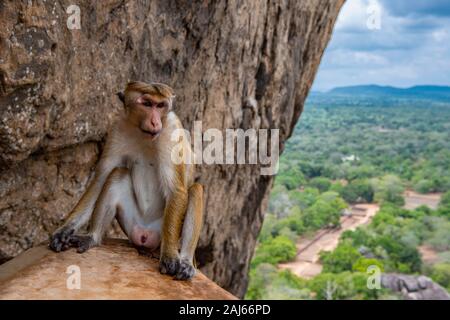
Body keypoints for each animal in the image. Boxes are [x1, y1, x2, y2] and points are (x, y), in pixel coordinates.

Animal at [50, 80, 203, 280]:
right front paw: (65, 228)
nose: (155, 122)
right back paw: (92, 237)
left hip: (160, 232)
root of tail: (145, 234)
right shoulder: (118, 127)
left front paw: (170, 255)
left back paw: (185, 262)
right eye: (147, 104)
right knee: (117, 174)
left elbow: (176, 190)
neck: (143, 133)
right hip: (132, 225)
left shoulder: (171, 129)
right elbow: (101, 178)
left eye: (161, 105)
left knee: (195, 190)